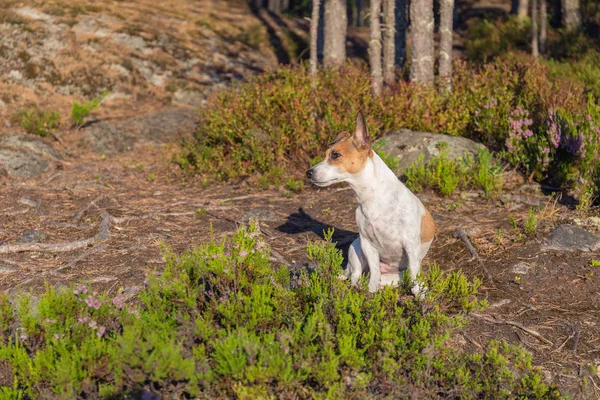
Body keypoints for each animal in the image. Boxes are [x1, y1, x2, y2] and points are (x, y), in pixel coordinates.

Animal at [308, 111, 434, 296]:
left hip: (397, 273)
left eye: (335, 155)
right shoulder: (368, 244)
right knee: (356, 276)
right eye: (326, 154)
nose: (308, 172)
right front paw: (371, 293)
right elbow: (374, 275)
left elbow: (414, 276)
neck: (374, 198)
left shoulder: (410, 245)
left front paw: (419, 294)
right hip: (356, 251)